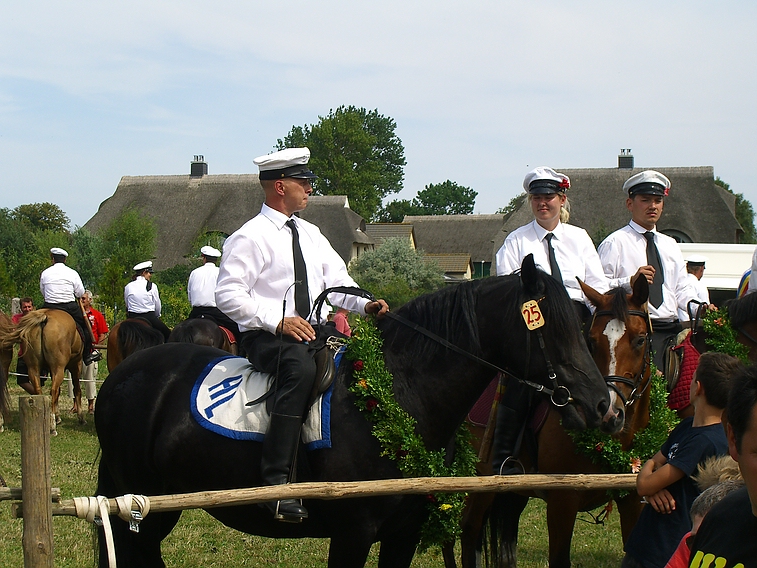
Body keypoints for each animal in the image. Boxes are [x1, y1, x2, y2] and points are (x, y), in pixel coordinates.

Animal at [94, 258, 616, 568]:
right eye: (550, 330)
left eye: (583, 326)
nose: (601, 406)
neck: (401, 394)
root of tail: (122, 377)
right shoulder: (353, 533)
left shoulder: (404, 534)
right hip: (140, 501)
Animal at [446, 276, 652, 568]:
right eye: (591, 341)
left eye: (640, 340)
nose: (610, 414)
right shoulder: (561, 502)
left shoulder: (633, 501)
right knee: (462, 531)